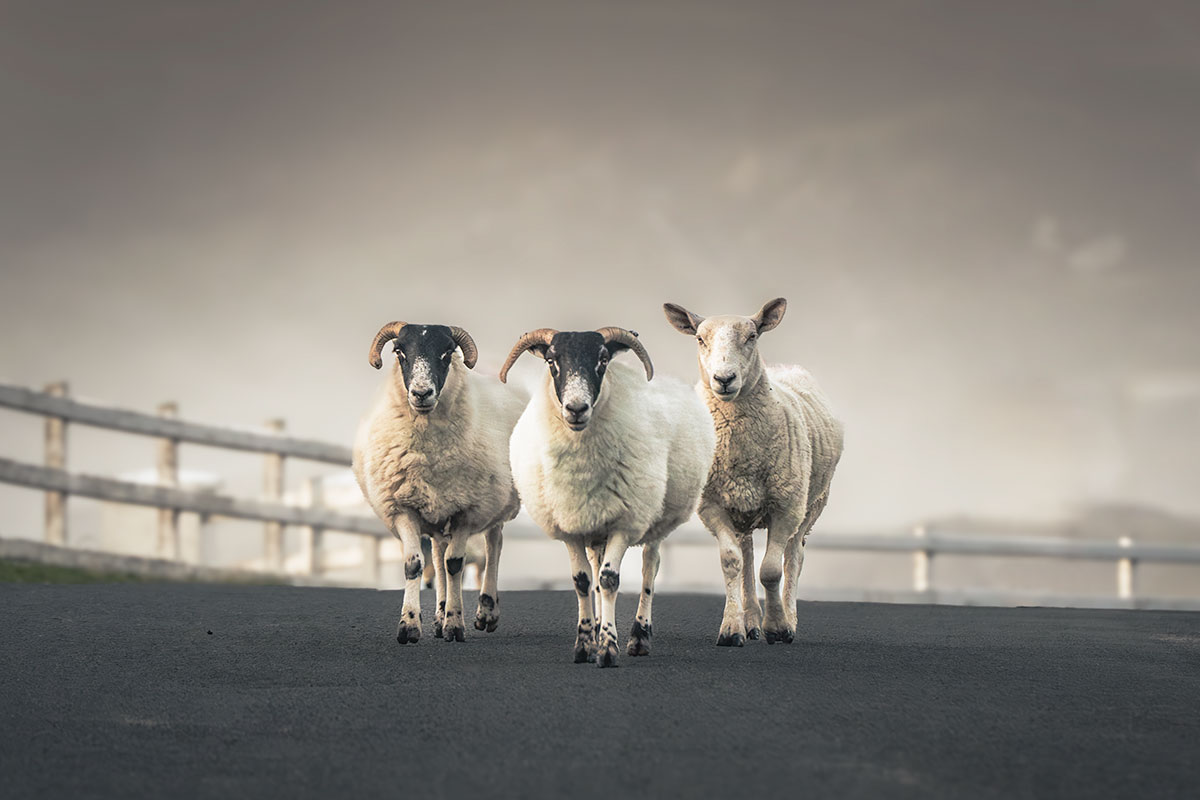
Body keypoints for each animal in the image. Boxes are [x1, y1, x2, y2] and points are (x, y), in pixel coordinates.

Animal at [353, 321, 527, 644]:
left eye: (447, 353)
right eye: (399, 352)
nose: (422, 393)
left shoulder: (466, 511)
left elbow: (455, 564)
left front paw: (455, 624)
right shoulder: (403, 508)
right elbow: (416, 564)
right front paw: (410, 624)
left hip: (494, 503)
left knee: (492, 546)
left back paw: (486, 612)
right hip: (436, 513)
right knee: (436, 557)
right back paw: (439, 613)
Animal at [501, 326, 716, 667]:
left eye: (603, 360)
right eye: (551, 361)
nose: (576, 409)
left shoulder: (623, 524)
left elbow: (609, 580)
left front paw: (608, 648)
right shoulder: (571, 526)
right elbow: (583, 581)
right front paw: (585, 644)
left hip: (656, 518)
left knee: (649, 568)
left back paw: (639, 637)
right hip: (594, 524)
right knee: (597, 566)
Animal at [663, 298, 844, 646]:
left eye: (752, 336)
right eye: (700, 338)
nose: (724, 378)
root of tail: (786, 367)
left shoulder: (786, 507)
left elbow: (771, 570)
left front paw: (778, 627)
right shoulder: (712, 506)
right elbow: (732, 562)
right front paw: (732, 628)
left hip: (811, 505)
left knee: (794, 558)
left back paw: (788, 619)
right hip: (743, 506)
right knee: (746, 555)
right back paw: (750, 622)